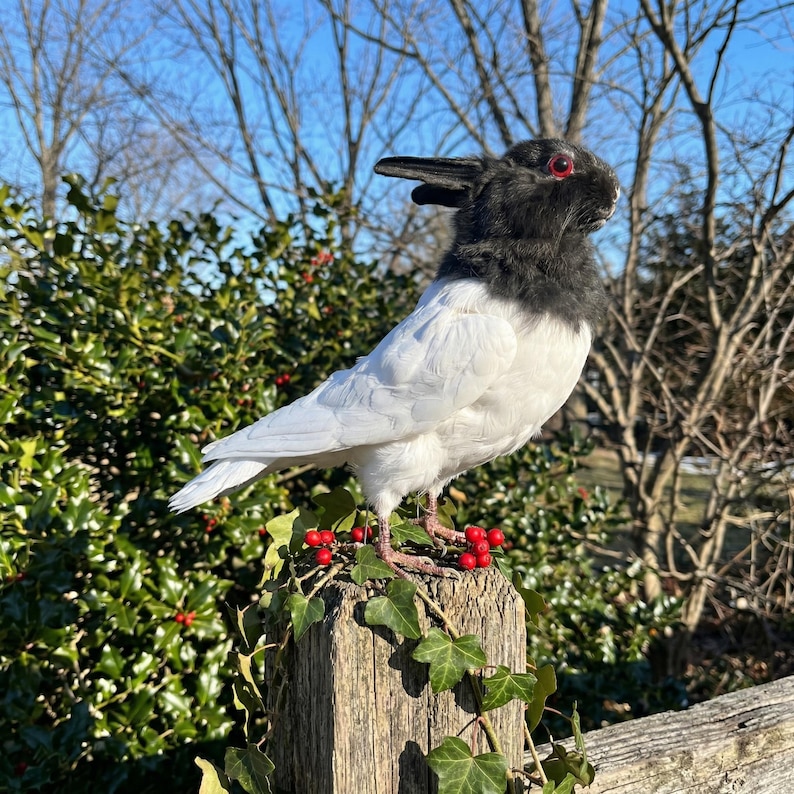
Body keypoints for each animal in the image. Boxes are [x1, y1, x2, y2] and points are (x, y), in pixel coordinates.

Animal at [170, 138, 620, 575]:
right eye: (560, 165)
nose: (615, 192)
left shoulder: (444, 469)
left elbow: (432, 502)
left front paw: (445, 534)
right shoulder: (395, 464)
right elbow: (386, 516)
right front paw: (402, 557)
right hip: (377, 451)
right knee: (382, 514)